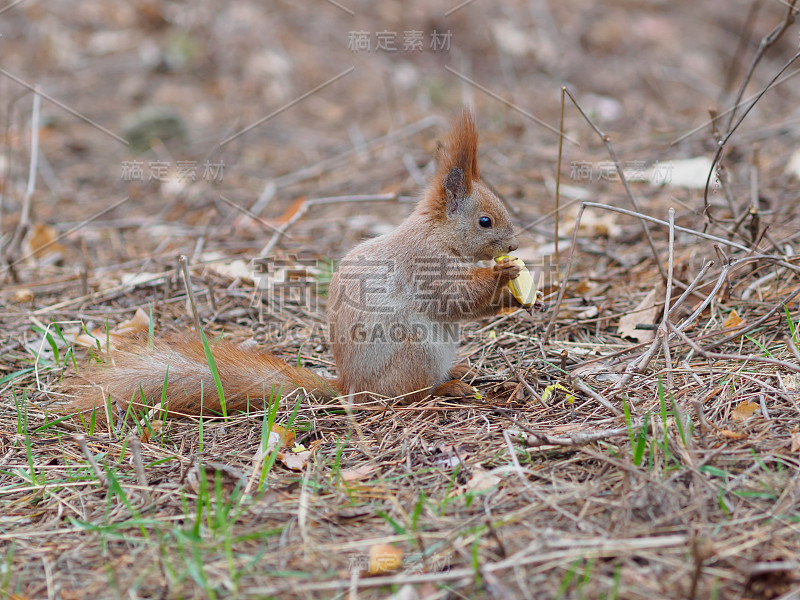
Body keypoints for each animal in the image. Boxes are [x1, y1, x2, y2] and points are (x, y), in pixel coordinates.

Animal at [62, 108, 524, 418]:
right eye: (485, 221)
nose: (514, 245)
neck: (441, 234)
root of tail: (350, 390)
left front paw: (513, 295)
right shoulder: (424, 263)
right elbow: (453, 298)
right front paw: (502, 274)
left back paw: (456, 372)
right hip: (414, 353)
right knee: (405, 396)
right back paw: (445, 391)